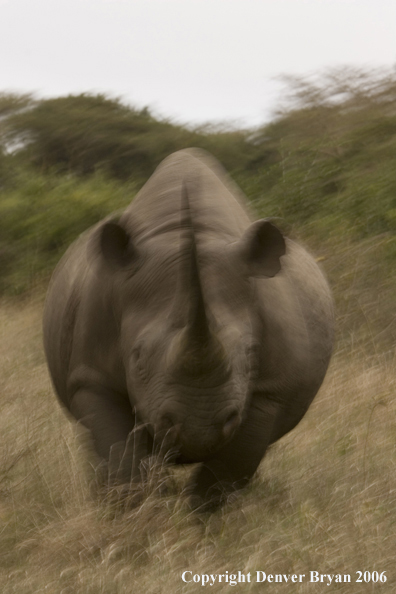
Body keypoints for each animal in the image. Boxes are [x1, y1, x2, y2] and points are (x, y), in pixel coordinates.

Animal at [43, 147, 334, 504]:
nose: (198, 429)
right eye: (137, 358)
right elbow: (119, 457)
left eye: (252, 354)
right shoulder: (92, 376)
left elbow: (229, 468)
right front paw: (138, 511)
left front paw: (200, 516)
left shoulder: (271, 391)